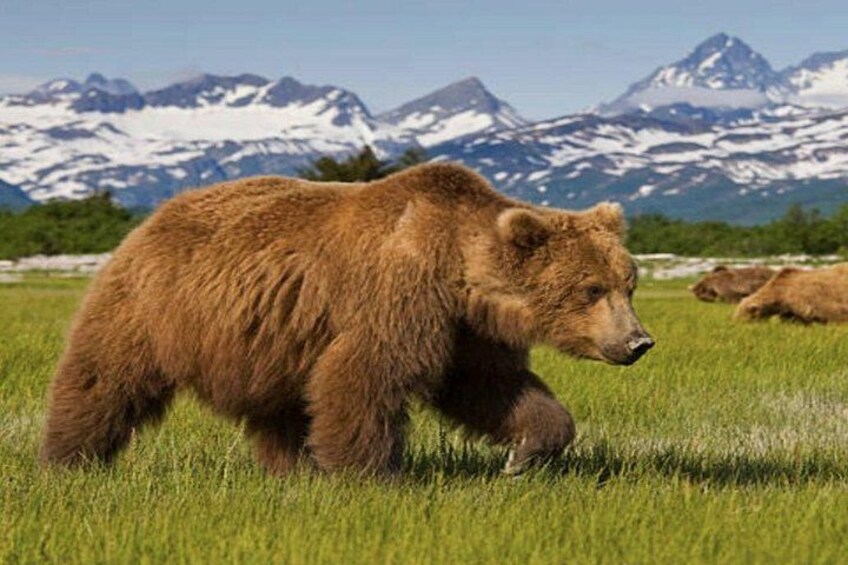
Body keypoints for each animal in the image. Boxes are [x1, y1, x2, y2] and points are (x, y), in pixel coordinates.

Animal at [40, 163, 653, 477]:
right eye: (591, 288)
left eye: (629, 282)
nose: (638, 341)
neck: (457, 268)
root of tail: (155, 216)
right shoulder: (399, 294)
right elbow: (366, 375)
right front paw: (371, 474)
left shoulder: (465, 330)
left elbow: (491, 389)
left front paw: (525, 454)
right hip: (151, 305)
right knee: (104, 377)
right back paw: (69, 460)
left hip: (271, 338)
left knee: (281, 408)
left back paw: (293, 467)